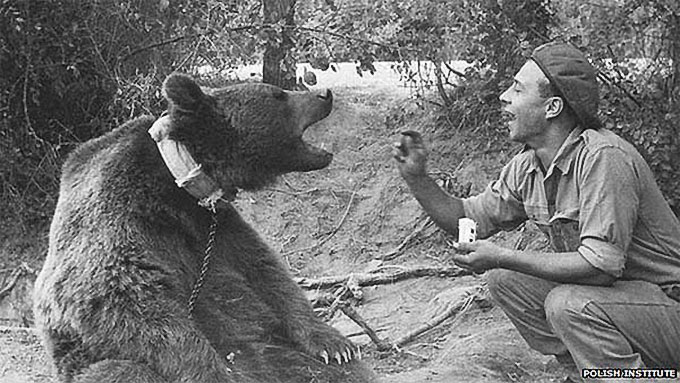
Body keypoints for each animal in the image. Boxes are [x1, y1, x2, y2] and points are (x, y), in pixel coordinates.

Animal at [33, 73, 378, 383]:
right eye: (278, 95)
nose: (325, 94)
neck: (182, 186)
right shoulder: (121, 223)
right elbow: (127, 302)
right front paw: (213, 371)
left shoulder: (218, 226)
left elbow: (267, 272)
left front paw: (335, 344)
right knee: (123, 371)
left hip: (278, 352)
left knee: (340, 373)